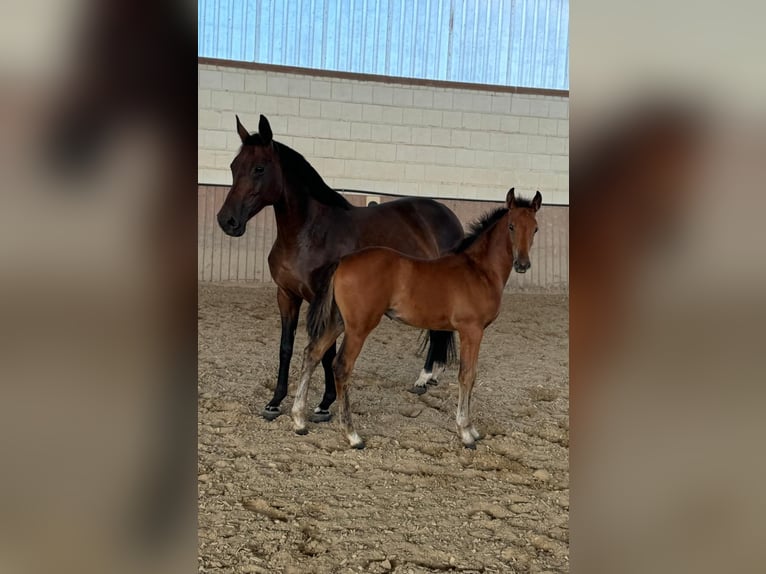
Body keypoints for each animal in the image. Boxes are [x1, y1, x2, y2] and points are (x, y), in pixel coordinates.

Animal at [219, 116, 464, 424]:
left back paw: (426, 376)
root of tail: (446, 214)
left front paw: (324, 404)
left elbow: (326, 352)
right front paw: (275, 402)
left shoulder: (324, 299)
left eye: (259, 168)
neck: (309, 233)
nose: (227, 221)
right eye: (233, 166)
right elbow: (285, 347)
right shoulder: (286, 295)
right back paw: (428, 377)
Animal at [292, 189, 544, 450]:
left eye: (535, 228)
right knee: (341, 367)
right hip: (359, 327)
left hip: (338, 321)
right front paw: (465, 432)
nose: (523, 264)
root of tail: (343, 260)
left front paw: (472, 429)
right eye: (512, 226)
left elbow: (471, 376)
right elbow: (466, 376)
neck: (479, 270)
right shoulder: (472, 330)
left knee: (311, 354)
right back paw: (352, 435)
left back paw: (299, 421)